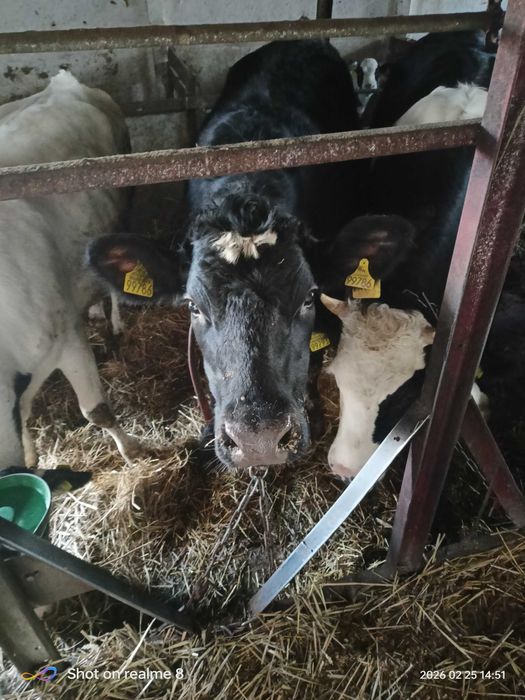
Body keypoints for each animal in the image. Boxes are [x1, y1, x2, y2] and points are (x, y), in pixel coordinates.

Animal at [0, 70, 142, 471]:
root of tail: (62, 81)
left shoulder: (68, 338)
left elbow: (96, 411)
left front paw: (133, 450)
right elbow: (25, 415)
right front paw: (32, 456)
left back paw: (114, 321)